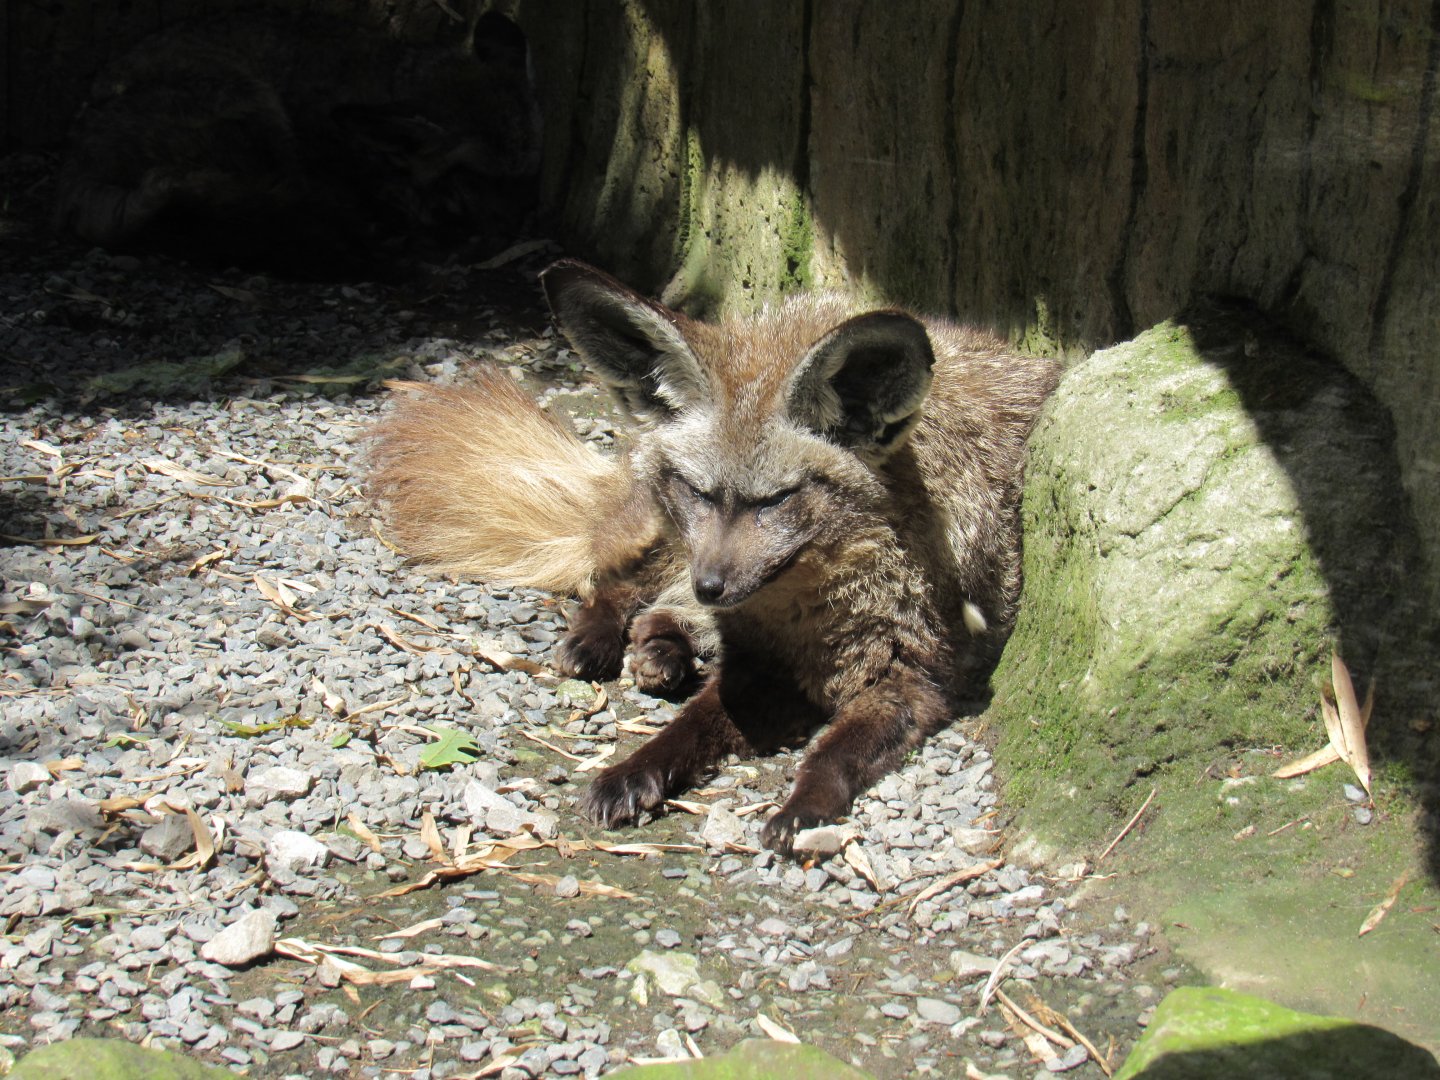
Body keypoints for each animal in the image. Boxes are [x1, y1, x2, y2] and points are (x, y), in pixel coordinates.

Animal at [368, 260, 1060, 854]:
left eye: (775, 500)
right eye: (701, 491)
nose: (712, 587)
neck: (814, 620)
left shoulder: (914, 684)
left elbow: (832, 756)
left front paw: (802, 808)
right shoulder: (755, 665)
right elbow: (689, 726)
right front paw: (636, 767)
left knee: (653, 608)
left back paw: (662, 649)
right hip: (665, 541)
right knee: (616, 583)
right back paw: (605, 641)